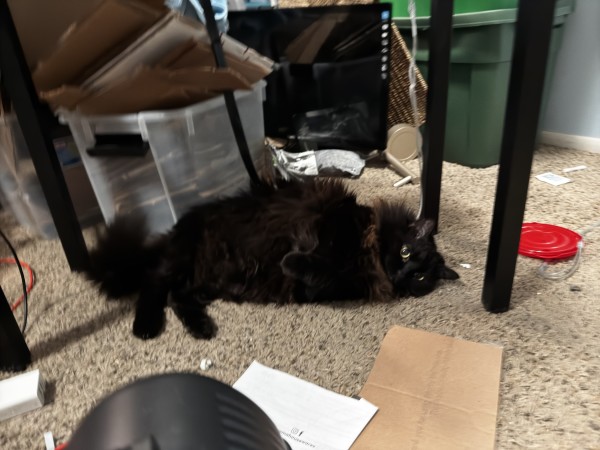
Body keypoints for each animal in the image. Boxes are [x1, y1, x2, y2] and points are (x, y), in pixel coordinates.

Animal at [84, 178, 460, 340]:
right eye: (406, 251)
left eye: (421, 278)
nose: (403, 274)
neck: (370, 257)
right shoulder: (334, 220)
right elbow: (321, 252)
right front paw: (293, 258)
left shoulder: (333, 286)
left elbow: (324, 272)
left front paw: (292, 263)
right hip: (184, 260)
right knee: (154, 282)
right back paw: (146, 327)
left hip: (202, 281)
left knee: (177, 297)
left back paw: (202, 329)